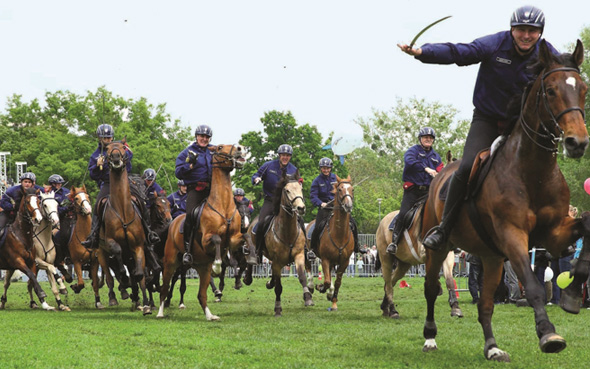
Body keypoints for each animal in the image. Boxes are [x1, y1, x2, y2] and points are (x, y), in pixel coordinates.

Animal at [157, 144, 250, 320]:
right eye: (220, 147)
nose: (240, 148)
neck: (223, 206)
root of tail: (173, 222)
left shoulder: (234, 239)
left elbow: (244, 239)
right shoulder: (207, 239)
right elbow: (218, 240)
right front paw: (218, 266)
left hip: (201, 267)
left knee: (201, 295)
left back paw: (210, 315)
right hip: (171, 263)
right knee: (164, 288)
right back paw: (160, 312)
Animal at [249, 170, 316, 316]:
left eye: (300, 188)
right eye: (287, 190)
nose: (301, 208)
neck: (287, 232)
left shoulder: (299, 255)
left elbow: (302, 276)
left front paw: (308, 297)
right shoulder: (277, 261)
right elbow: (279, 287)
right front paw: (278, 308)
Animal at [306, 175, 356, 310]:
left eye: (352, 189)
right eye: (339, 189)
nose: (348, 205)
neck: (339, 234)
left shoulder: (344, 262)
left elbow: (337, 282)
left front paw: (333, 301)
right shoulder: (325, 259)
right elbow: (327, 281)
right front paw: (320, 287)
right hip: (308, 253)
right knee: (308, 268)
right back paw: (311, 286)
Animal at [420, 39, 590, 360]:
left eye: (583, 89)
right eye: (551, 91)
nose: (578, 143)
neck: (533, 171)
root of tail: (441, 173)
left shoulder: (554, 234)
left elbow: (585, 225)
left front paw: (573, 293)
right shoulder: (513, 235)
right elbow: (533, 287)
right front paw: (548, 333)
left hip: (491, 257)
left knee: (486, 304)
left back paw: (492, 347)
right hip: (440, 249)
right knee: (432, 288)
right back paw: (430, 337)